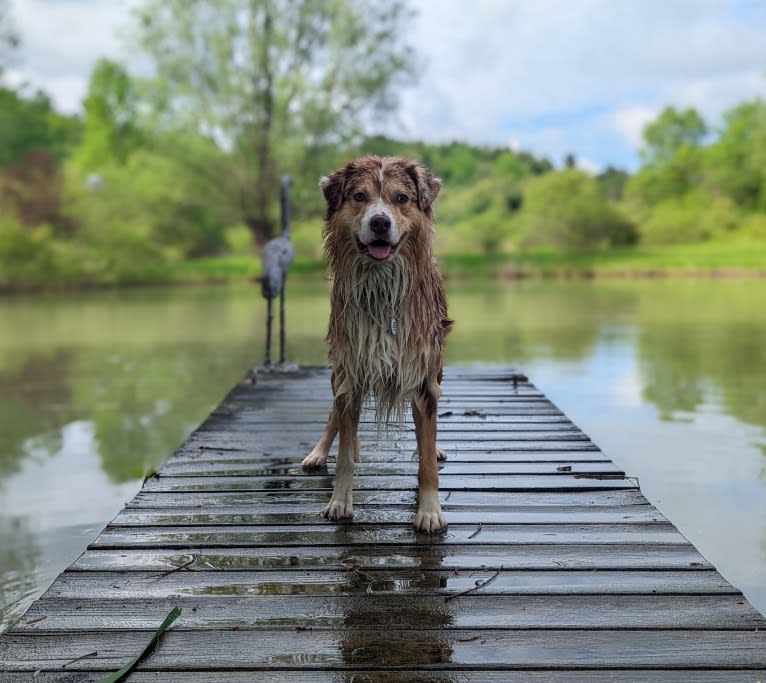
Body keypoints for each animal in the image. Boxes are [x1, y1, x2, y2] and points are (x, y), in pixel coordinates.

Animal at [302, 156, 456, 536]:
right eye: (360, 196)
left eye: (401, 198)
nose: (380, 222)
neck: (381, 288)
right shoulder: (350, 369)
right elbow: (344, 453)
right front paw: (340, 501)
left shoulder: (422, 377)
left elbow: (426, 460)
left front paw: (429, 511)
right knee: (334, 416)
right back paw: (319, 451)